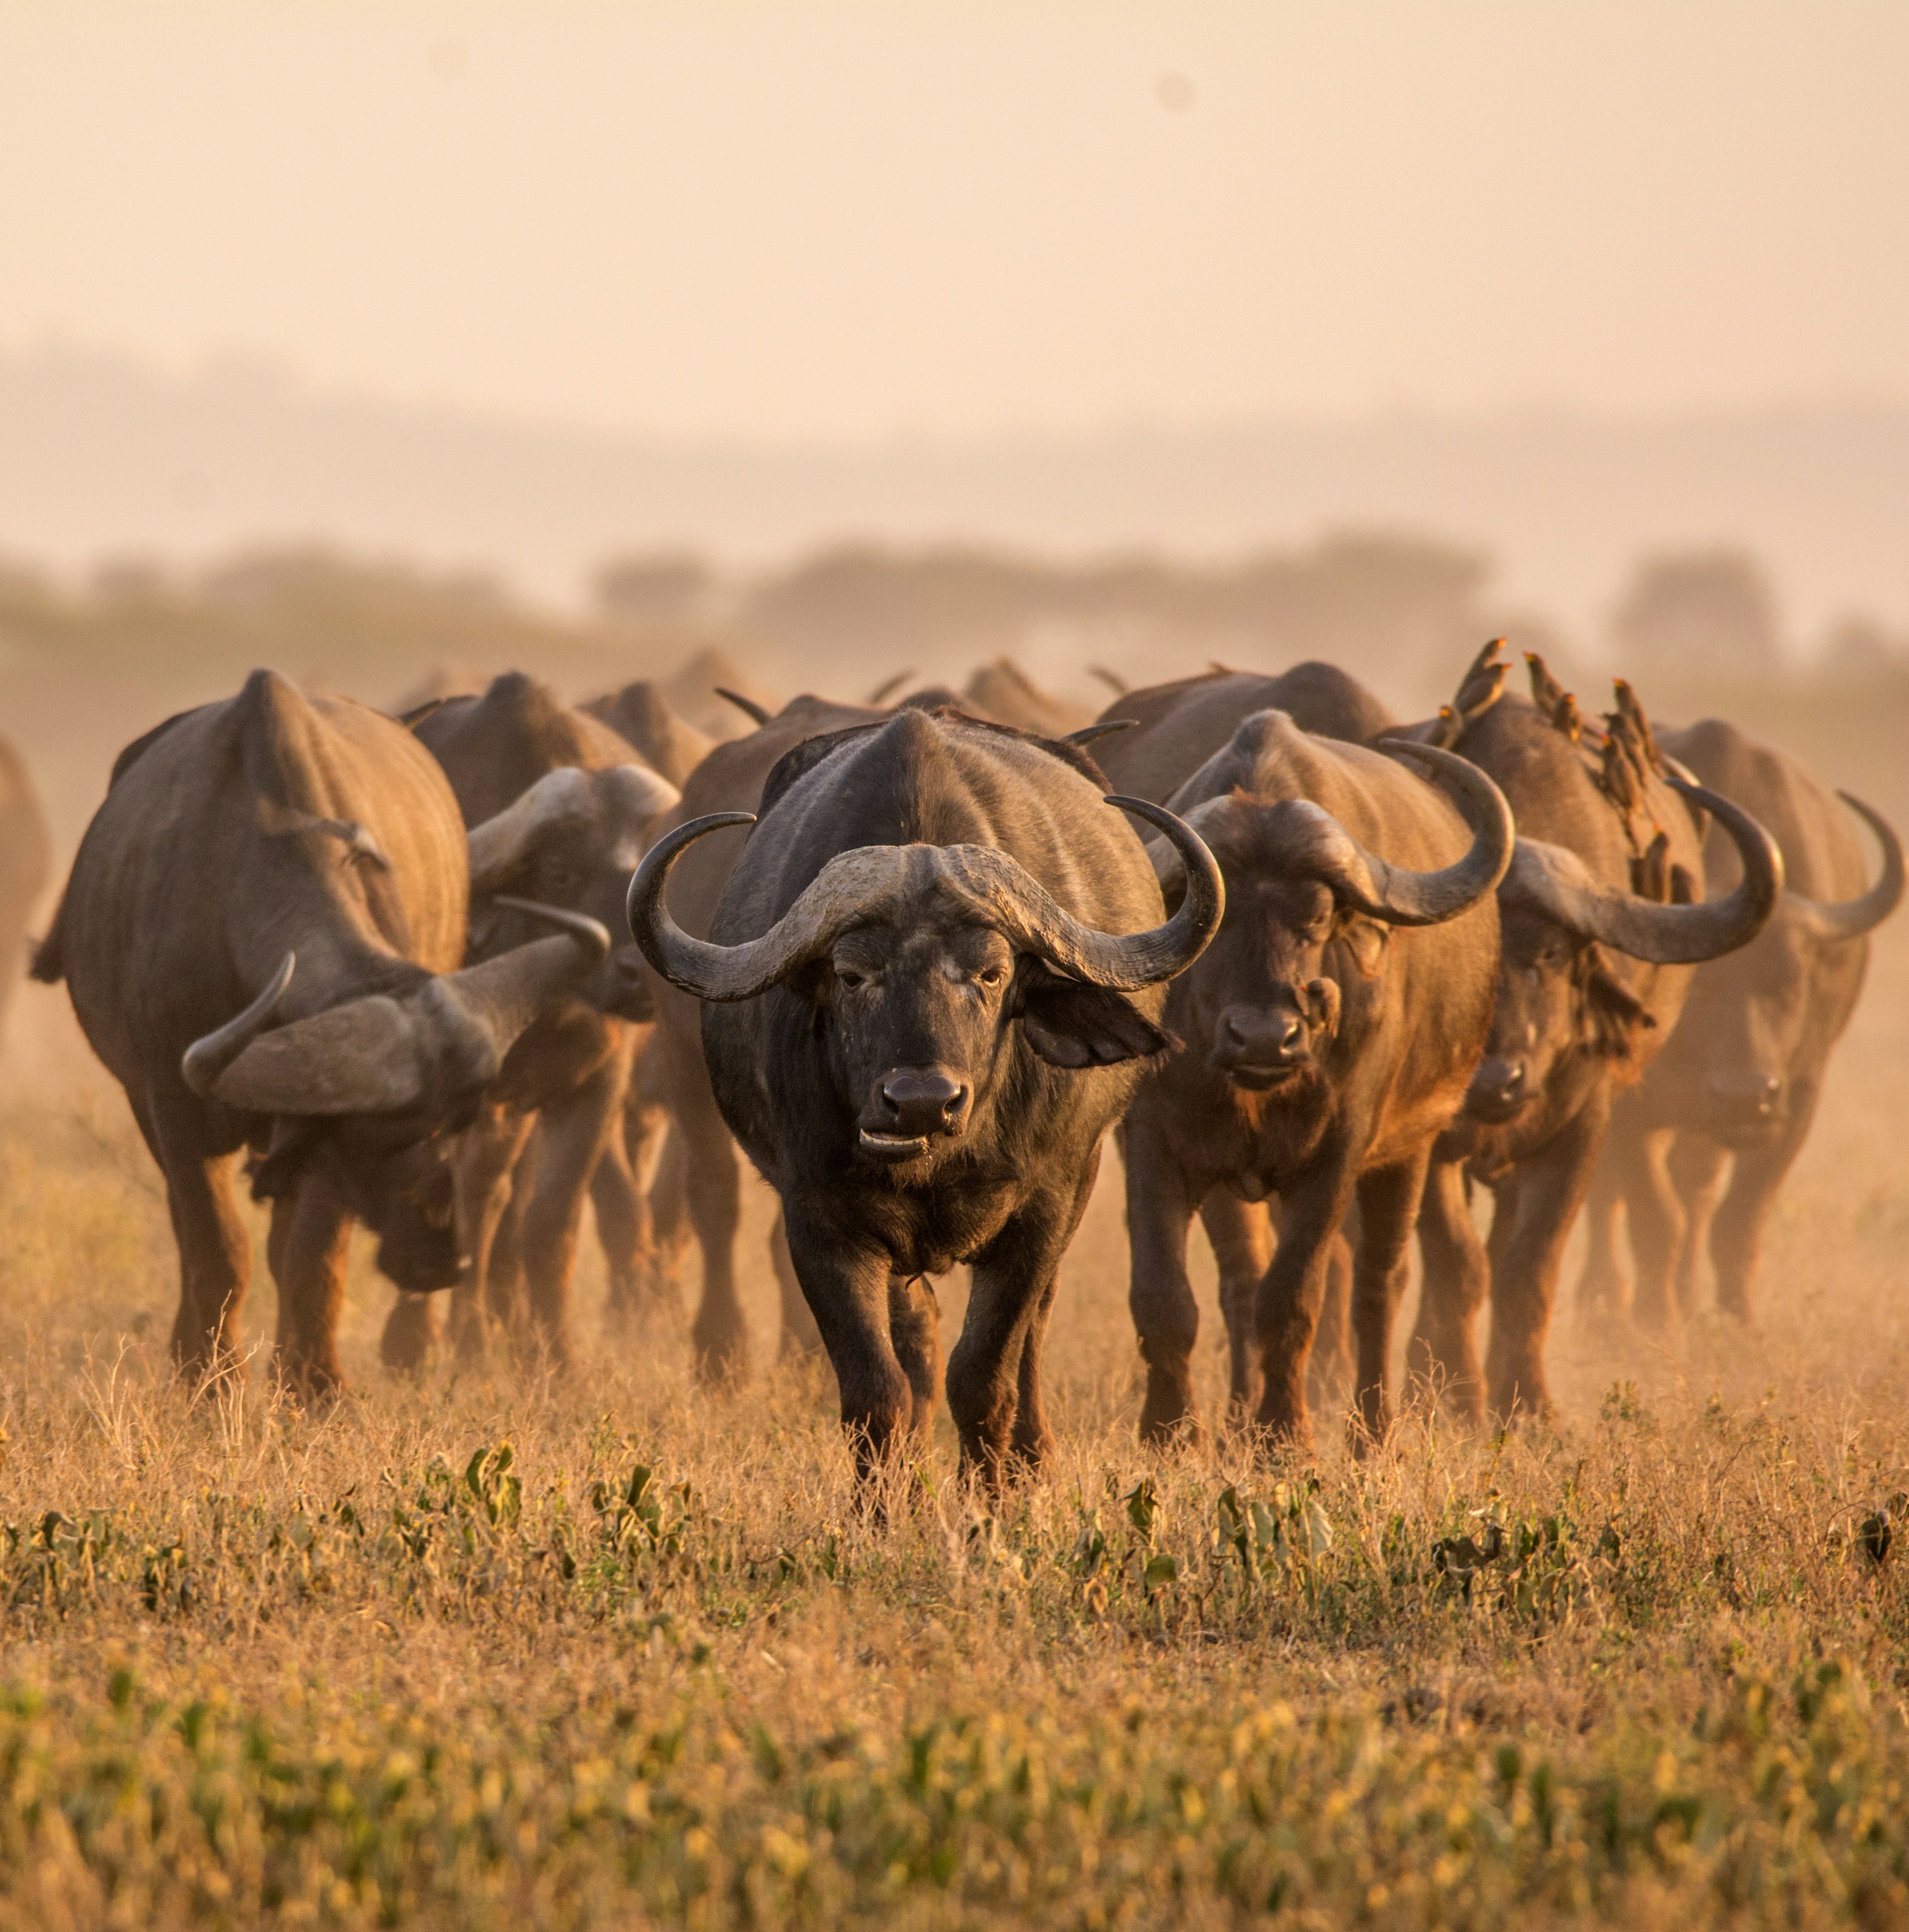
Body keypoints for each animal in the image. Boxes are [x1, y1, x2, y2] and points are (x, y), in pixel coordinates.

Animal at [37, 676, 607, 1391]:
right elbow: (217, 1246)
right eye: (375, 1136)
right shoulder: (176, 1106)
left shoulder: (312, 1146)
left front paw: (313, 1385)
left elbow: (311, 1255)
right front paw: (211, 1381)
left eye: (456, 1122)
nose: (442, 1259)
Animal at [626, 707, 1221, 1476]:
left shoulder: (1040, 1210)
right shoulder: (820, 1221)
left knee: (1031, 1335)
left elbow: (986, 1376)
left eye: (992, 973)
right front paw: (884, 1498)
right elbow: (878, 1388)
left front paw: (992, 1493)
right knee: (917, 1342)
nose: (920, 1100)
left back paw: (1031, 1455)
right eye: (852, 974)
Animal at [1121, 711, 1507, 1453]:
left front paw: (1283, 1436)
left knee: (1380, 1285)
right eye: (1212, 918)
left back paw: (1372, 1431)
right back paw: (1235, 1425)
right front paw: (1170, 1435)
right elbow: (1164, 1296)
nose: (1265, 1036)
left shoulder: (1337, 1155)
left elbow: (1294, 1296)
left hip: (1411, 1148)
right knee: (1240, 1282)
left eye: (1319, 916)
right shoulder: (1152, 1142)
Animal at [1398, 649, 1793, 1422]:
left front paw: (1527, 1404)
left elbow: (1529, 1262)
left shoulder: (1585, 1124)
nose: (1495, 1080)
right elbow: (1456, 1261)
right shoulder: (1426, 1133)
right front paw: (1454, 1393)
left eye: (1551, 955)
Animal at [1576, 722, 1901, 1329]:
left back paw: (1686, 1292)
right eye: (1700, 987)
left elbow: (1739, 1219)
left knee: (1697, 1187)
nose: (1745, 1096)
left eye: (1791, 983)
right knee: (1610, 1196)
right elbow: (1653, 1214)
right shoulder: (1628, 1103)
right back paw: (1604, 1295)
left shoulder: (1798, 1100)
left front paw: (1737, 1316)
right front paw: (1655, 1318)